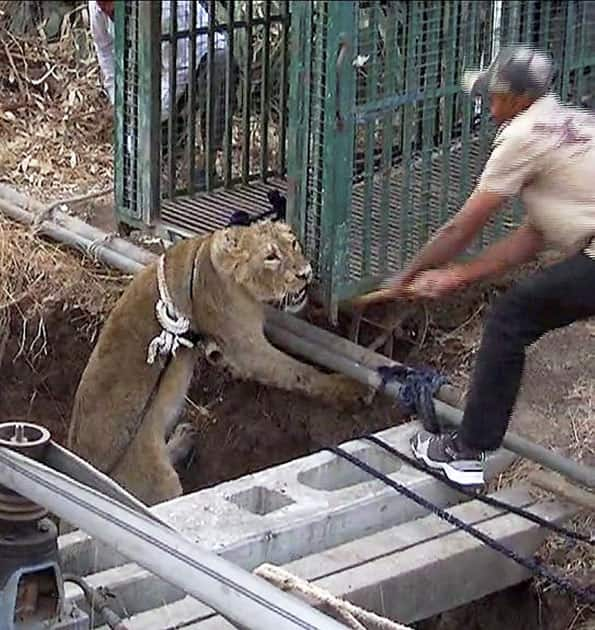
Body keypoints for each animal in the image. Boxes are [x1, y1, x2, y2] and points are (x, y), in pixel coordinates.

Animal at [66, 222, 372, 508]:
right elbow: (298, 372)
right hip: (159, 479)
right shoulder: (246, 349)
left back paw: (184, 438)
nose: (305, 273)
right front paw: (349, 389)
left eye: (294, 243)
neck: (208, 256)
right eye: (271, 257)